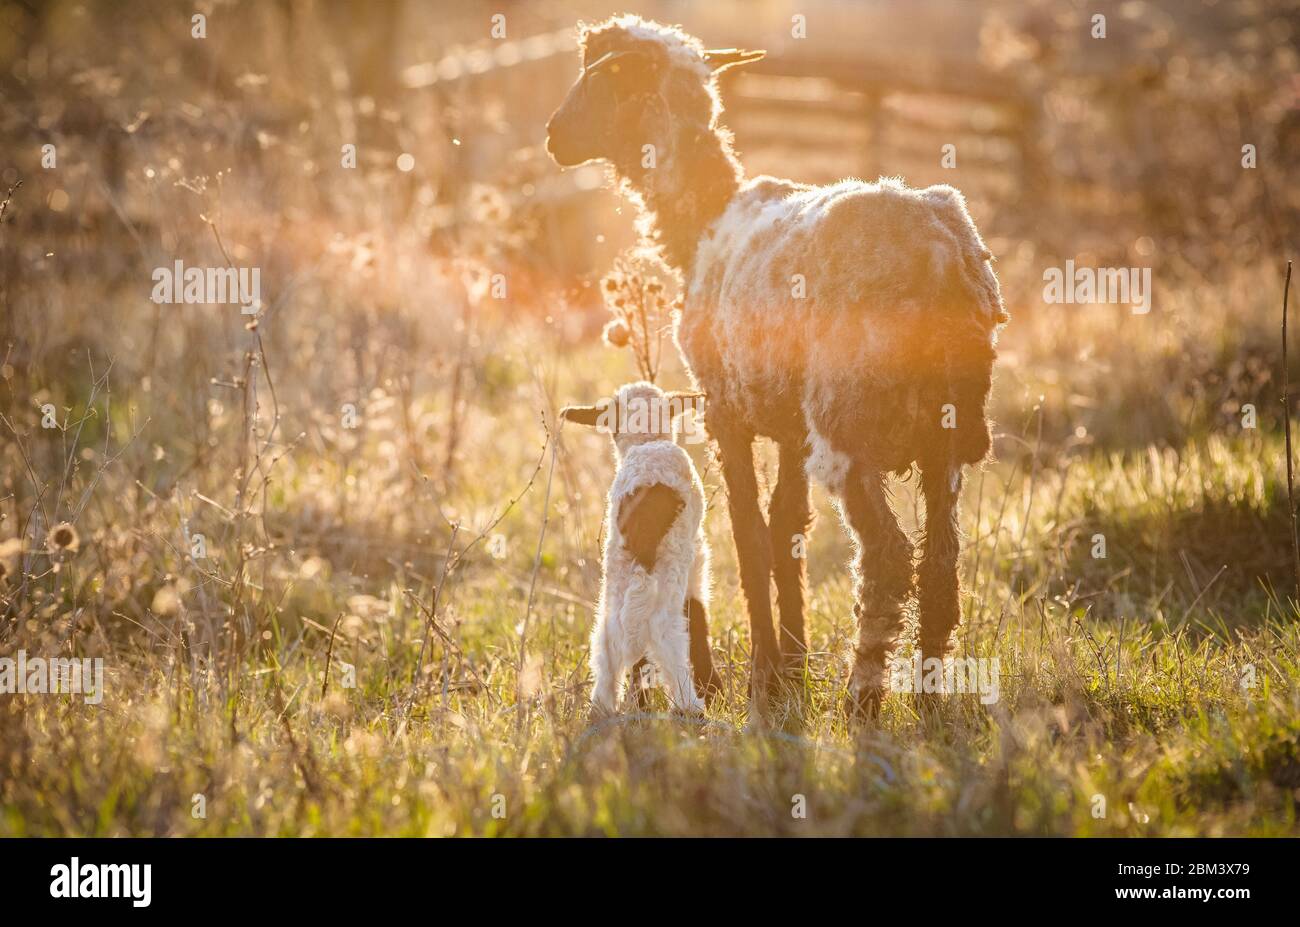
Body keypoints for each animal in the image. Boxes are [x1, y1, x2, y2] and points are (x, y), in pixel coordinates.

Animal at [562, 381, 718, 716]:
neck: (647, 440)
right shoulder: (697, 560)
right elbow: (698, 614)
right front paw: (713, 689)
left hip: (618, 570)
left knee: (611, 635)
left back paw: (604, 707)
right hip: (671, 562)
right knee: (664, 628)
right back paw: (690, 705)